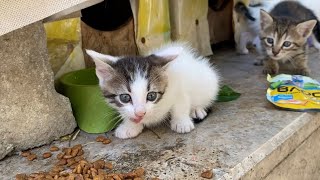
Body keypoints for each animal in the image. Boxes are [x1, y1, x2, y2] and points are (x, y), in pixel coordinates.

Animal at [85, 43, 220, 139]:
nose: (140, 113)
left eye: (151, 96)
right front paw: (130, 126)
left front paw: (181, 122)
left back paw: (197, 110)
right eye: (125, 97)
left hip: (209, 82)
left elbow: (180, 104)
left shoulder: (179, 86)